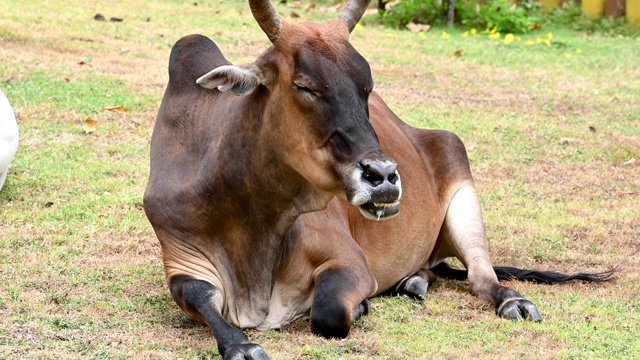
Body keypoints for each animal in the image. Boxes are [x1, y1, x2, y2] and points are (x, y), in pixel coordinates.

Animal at [142, 1, 612, 358]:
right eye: (304, 85)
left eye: (367, 86)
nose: (383, 176)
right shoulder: (181, 256)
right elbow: (196, 294)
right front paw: (241, 344)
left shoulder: (348, 262)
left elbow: (330, 313)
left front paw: (362, 306)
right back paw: (413, 281)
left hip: (461, 179)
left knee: (482, 276)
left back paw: (510, 300)